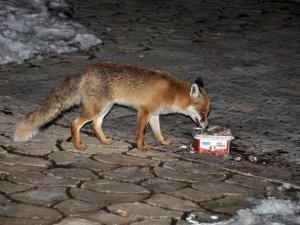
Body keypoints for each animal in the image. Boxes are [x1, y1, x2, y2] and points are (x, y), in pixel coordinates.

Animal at [14, 61, 210, 151]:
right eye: (203, 113)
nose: (207, 127)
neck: (172, 91)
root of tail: (86, 69)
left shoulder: (154, 115)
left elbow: (158, 132)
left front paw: (163, 142)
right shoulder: (144, 111)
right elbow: (141, 133)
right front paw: (141, 147)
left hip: (105, 108)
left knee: (95, 125)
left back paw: (104, 140)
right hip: (96, 108)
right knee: (75, 123)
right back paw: (78, 145)